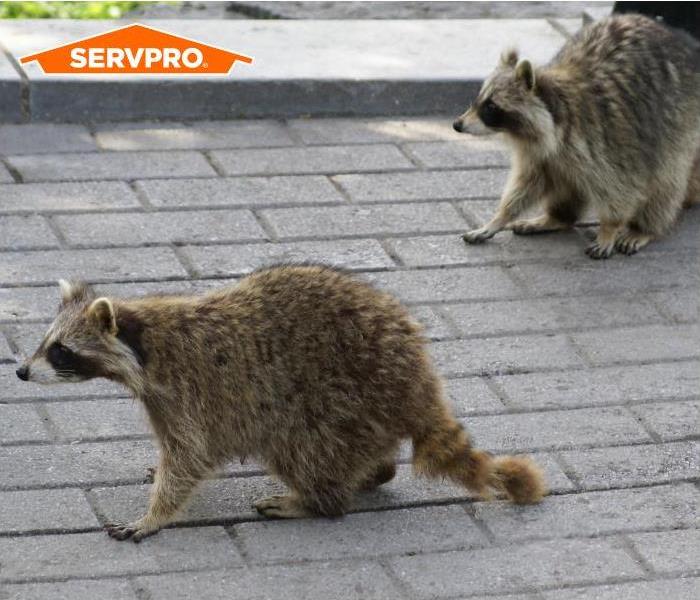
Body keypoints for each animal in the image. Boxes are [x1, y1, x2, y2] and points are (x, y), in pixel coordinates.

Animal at [13, 268, 544, 544]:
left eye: (60, 351)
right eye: (44, 342)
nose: (20, 372)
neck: (142, 339)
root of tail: (418, 379)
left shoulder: (188, 391)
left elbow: (189, 457)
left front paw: (156, 513)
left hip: (341, 396)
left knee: (301, 448)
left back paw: (314, 500)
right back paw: (372, 473)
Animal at [454, 14, 700, 258]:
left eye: (490, 107)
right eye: (478, 100)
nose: (457, 125)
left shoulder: (609, 137)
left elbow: (620, 186)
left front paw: (610, 227)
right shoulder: (539, 152)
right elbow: (527, 184)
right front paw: (499, 218)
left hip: (680, 122)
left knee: (667, 179)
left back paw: (644, 227)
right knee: (565, 181)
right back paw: (557, 217)